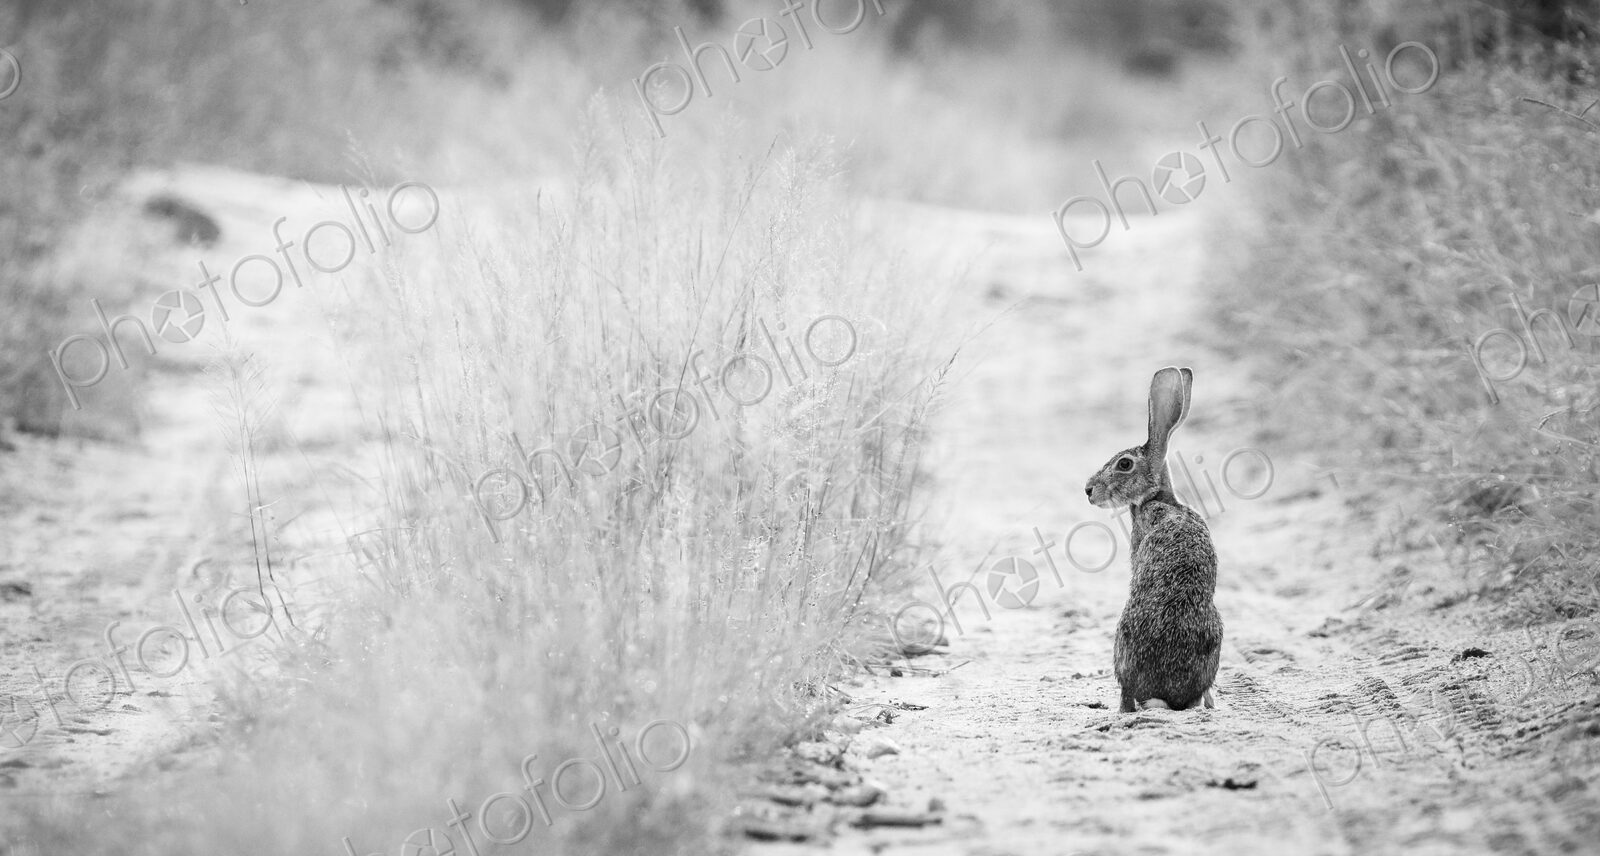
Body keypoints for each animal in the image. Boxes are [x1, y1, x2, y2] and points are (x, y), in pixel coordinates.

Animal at [1084, 366, 1222, 713]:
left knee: (1126, 694)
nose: (1088, 490)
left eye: (1124, 464)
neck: (1159, 498)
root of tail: (1167, 696)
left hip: (1122, 638)